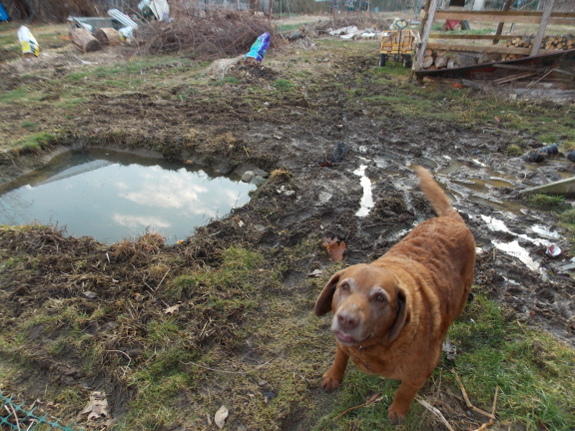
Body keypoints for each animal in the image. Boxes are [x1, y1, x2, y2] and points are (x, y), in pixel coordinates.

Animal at [316, 166, 476, 426]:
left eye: (380, 298)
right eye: (344, 287)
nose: (346, 319)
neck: (374, 346)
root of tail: (451, 218)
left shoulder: (416, 374)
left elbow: (404, 392)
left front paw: (397, 412)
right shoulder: (343, 344)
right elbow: (340, 358)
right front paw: (332, 377)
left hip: (461, 295)